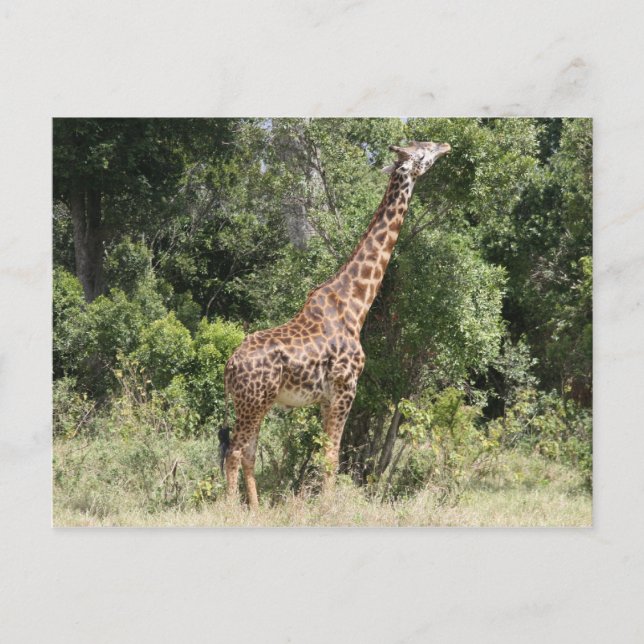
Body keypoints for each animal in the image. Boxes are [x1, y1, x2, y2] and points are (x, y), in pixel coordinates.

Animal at [220, 140, 451, 507]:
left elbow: (323, 453)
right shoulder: (345, 388)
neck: (357, 304)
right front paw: (327, 507)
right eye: (424, 151)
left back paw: (256, 509)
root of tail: (229, 365)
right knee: (234, 452)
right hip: (253, 402)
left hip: (257, 403)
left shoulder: (326, 398)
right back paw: (231, 509)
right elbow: (332, 455)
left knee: (248, 453)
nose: (445, 145)